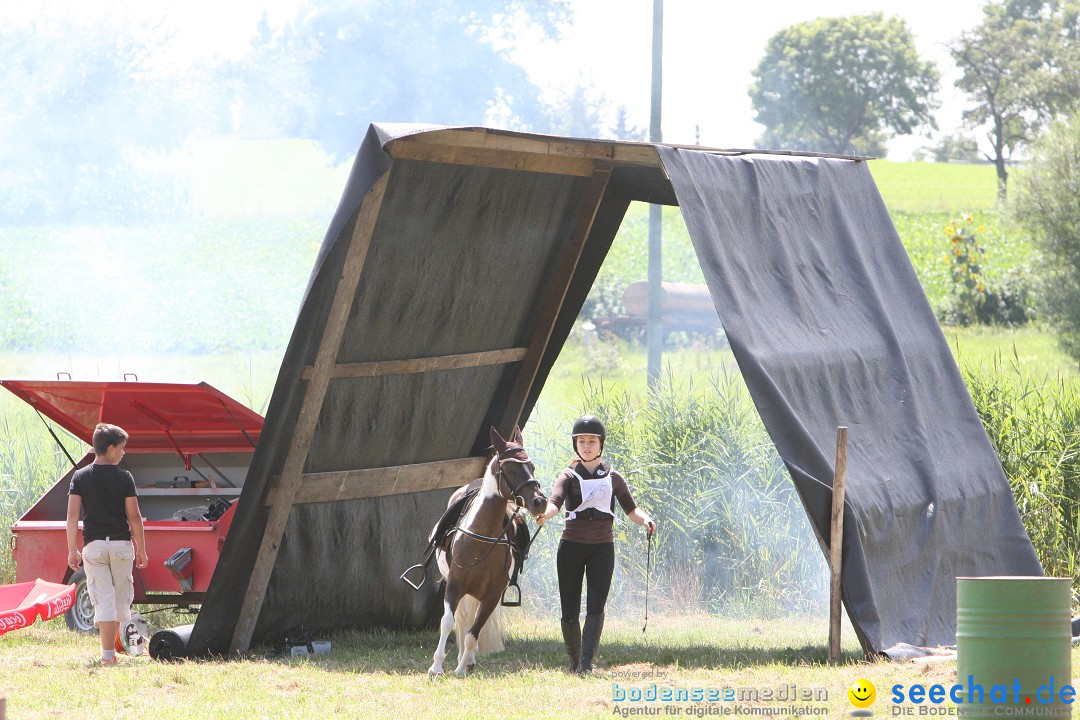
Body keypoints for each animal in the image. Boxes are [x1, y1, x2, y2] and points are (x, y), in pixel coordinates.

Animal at [425, 425, 548, 677]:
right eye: (510, 468)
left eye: (531, 466)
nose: (540, 502)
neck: (479, 539)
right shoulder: (454, 585)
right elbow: (448, 622)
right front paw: (436, 666)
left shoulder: (492, 595)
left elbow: (474, 633)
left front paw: (462, 668)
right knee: (462, 619)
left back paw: (467, 659)